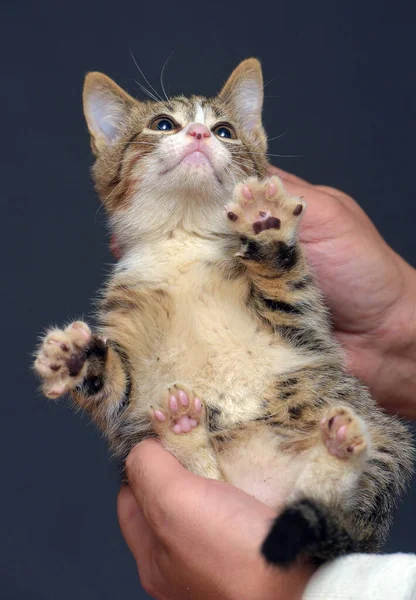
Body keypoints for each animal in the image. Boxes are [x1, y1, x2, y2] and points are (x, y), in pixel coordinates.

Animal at [34, 59, 414, 568]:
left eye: (225, 130)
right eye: (163, 125)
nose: (198, 133)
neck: (184, 239)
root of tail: (261, 494)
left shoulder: (303, 321)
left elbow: (288, 285)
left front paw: (267, 226)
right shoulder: (130, 385)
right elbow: (116, 387)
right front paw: (76, 357)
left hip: (386, 443)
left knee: (333, 498)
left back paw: (335, 451)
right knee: (209, 478)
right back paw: (183, 431)